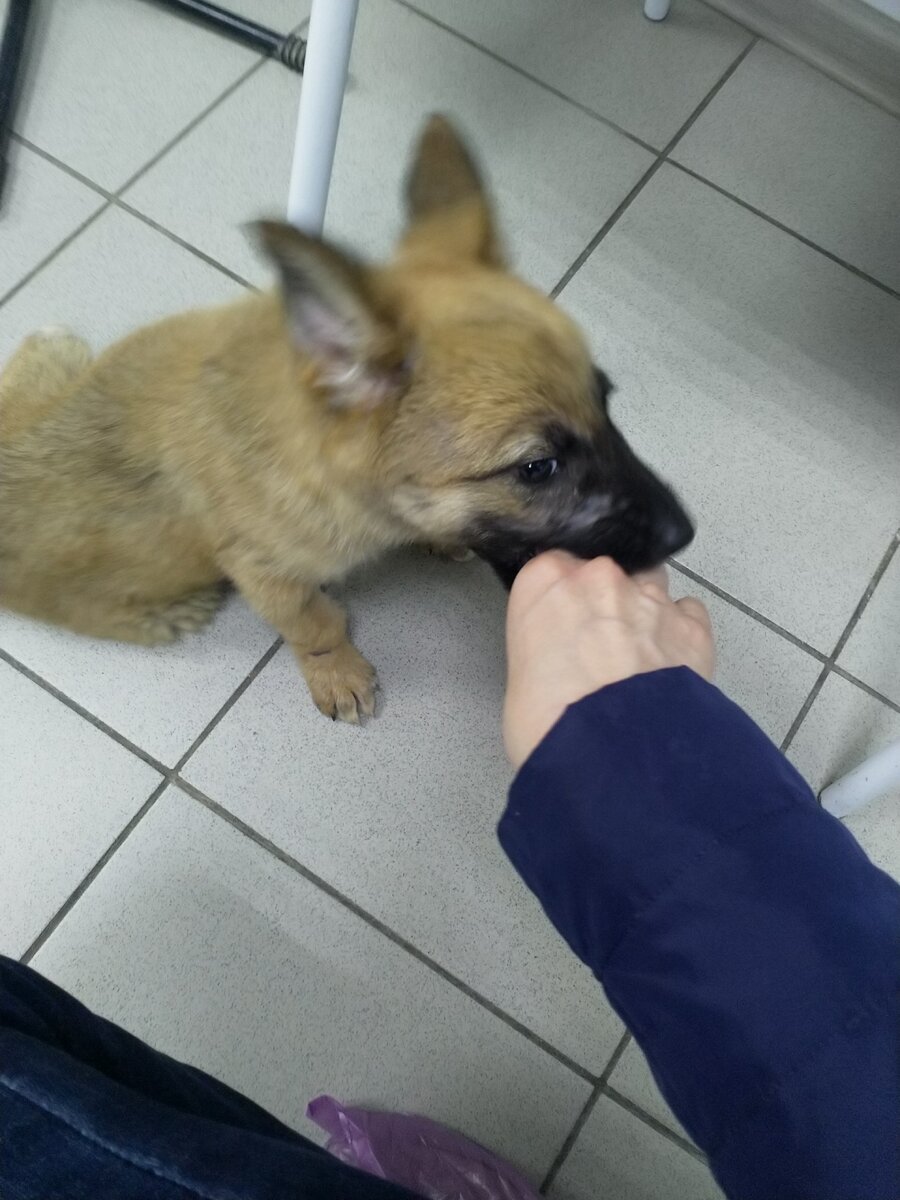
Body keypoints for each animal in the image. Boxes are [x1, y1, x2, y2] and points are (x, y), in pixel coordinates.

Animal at [0, 115, 693, 723]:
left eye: (605, 400)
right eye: (537, 467)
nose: (684, 535)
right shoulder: (269, 575)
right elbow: (315, 624)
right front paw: (336, 671)